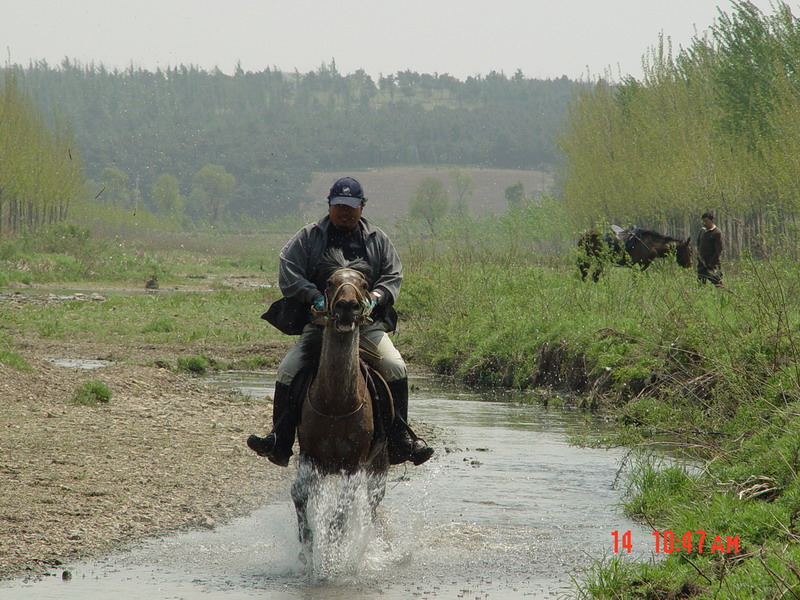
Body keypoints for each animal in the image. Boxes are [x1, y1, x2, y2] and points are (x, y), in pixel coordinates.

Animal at [290, 247, 392, 564]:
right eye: (330, 282)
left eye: (363, 283)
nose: (348, 306)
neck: (336, 403)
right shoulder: (310, 457)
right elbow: (300, 496)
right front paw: (307, 550)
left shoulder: (353, 465)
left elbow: (341, 514)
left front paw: (333, 555)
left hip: (377, 468)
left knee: (371, 507)